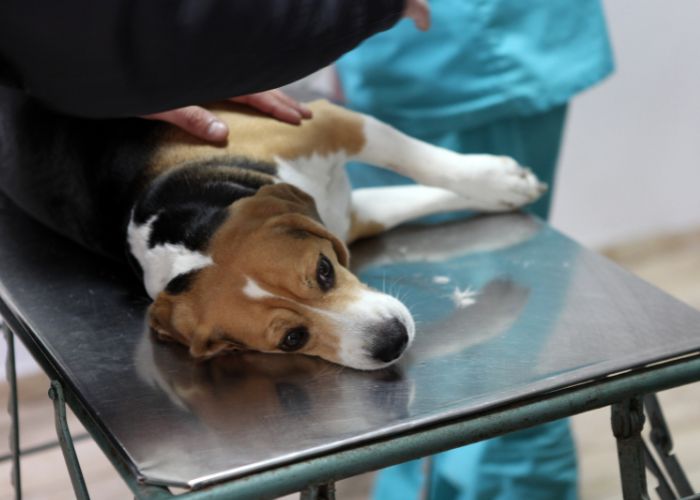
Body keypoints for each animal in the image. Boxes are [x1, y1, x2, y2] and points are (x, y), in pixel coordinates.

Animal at [2, 98, 544, 372]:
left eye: (324, 271)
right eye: (292, 339)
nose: (392, 341)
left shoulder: (326, 122)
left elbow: (418, 160)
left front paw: (499, 182)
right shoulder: (347, 214)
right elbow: (412, 192)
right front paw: (503, 187)